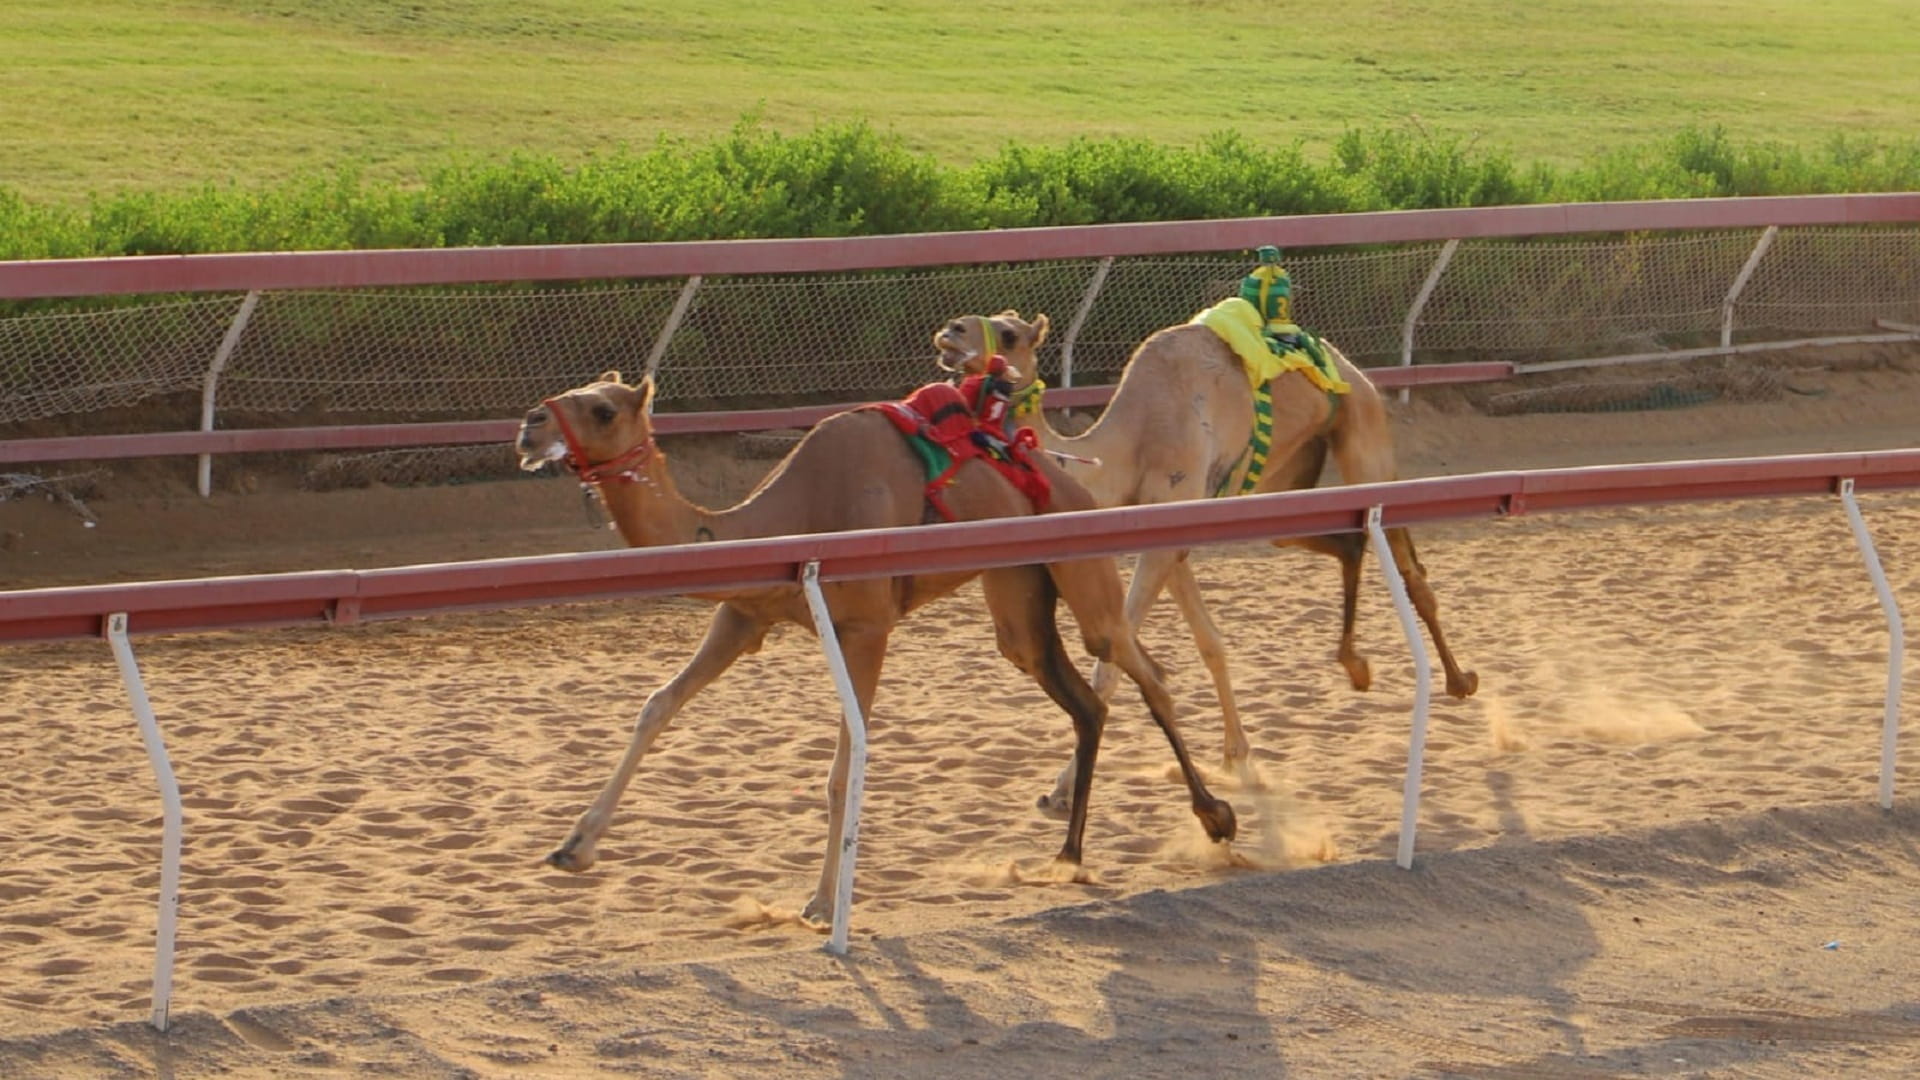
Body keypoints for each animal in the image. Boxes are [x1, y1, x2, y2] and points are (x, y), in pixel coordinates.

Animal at [514, 365, 1228, 922]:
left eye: (603, 408)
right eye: (573, 388)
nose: (529, 424)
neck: (785, 517)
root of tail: (1064, 476)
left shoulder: (866, 625)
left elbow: (841, 768)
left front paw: (822, 902)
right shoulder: (744, 617)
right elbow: (656, 704)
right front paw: (572, 848)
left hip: (1077, 561)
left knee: (1141, 666)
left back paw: (1218, 817)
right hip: (1018, 594)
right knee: (1082, 696)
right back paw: (1068, 857)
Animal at [936, 311, 1474, 807]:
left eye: (1009, 334)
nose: (950, 331)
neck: (1127, 447)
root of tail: (1351, 368)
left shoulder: (1168, 526)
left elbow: (1110, 666)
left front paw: (1061, 790)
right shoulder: (1172, 539)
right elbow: (1210, 643)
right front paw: (1237, 756)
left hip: (1364, 439)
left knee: (1410, 568)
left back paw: (1458, 680)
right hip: (1285, 483)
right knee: (1347, 542)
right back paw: (1356, 664)